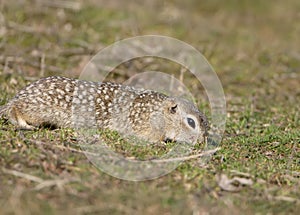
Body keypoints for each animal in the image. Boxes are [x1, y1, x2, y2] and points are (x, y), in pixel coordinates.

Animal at [0, 76, 207, 144]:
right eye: (191, 122)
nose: (201, 142)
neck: (160, 113)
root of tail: (19, 95)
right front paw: (162, 144)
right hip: (38, 109)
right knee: (15, 109)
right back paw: (24, 123)